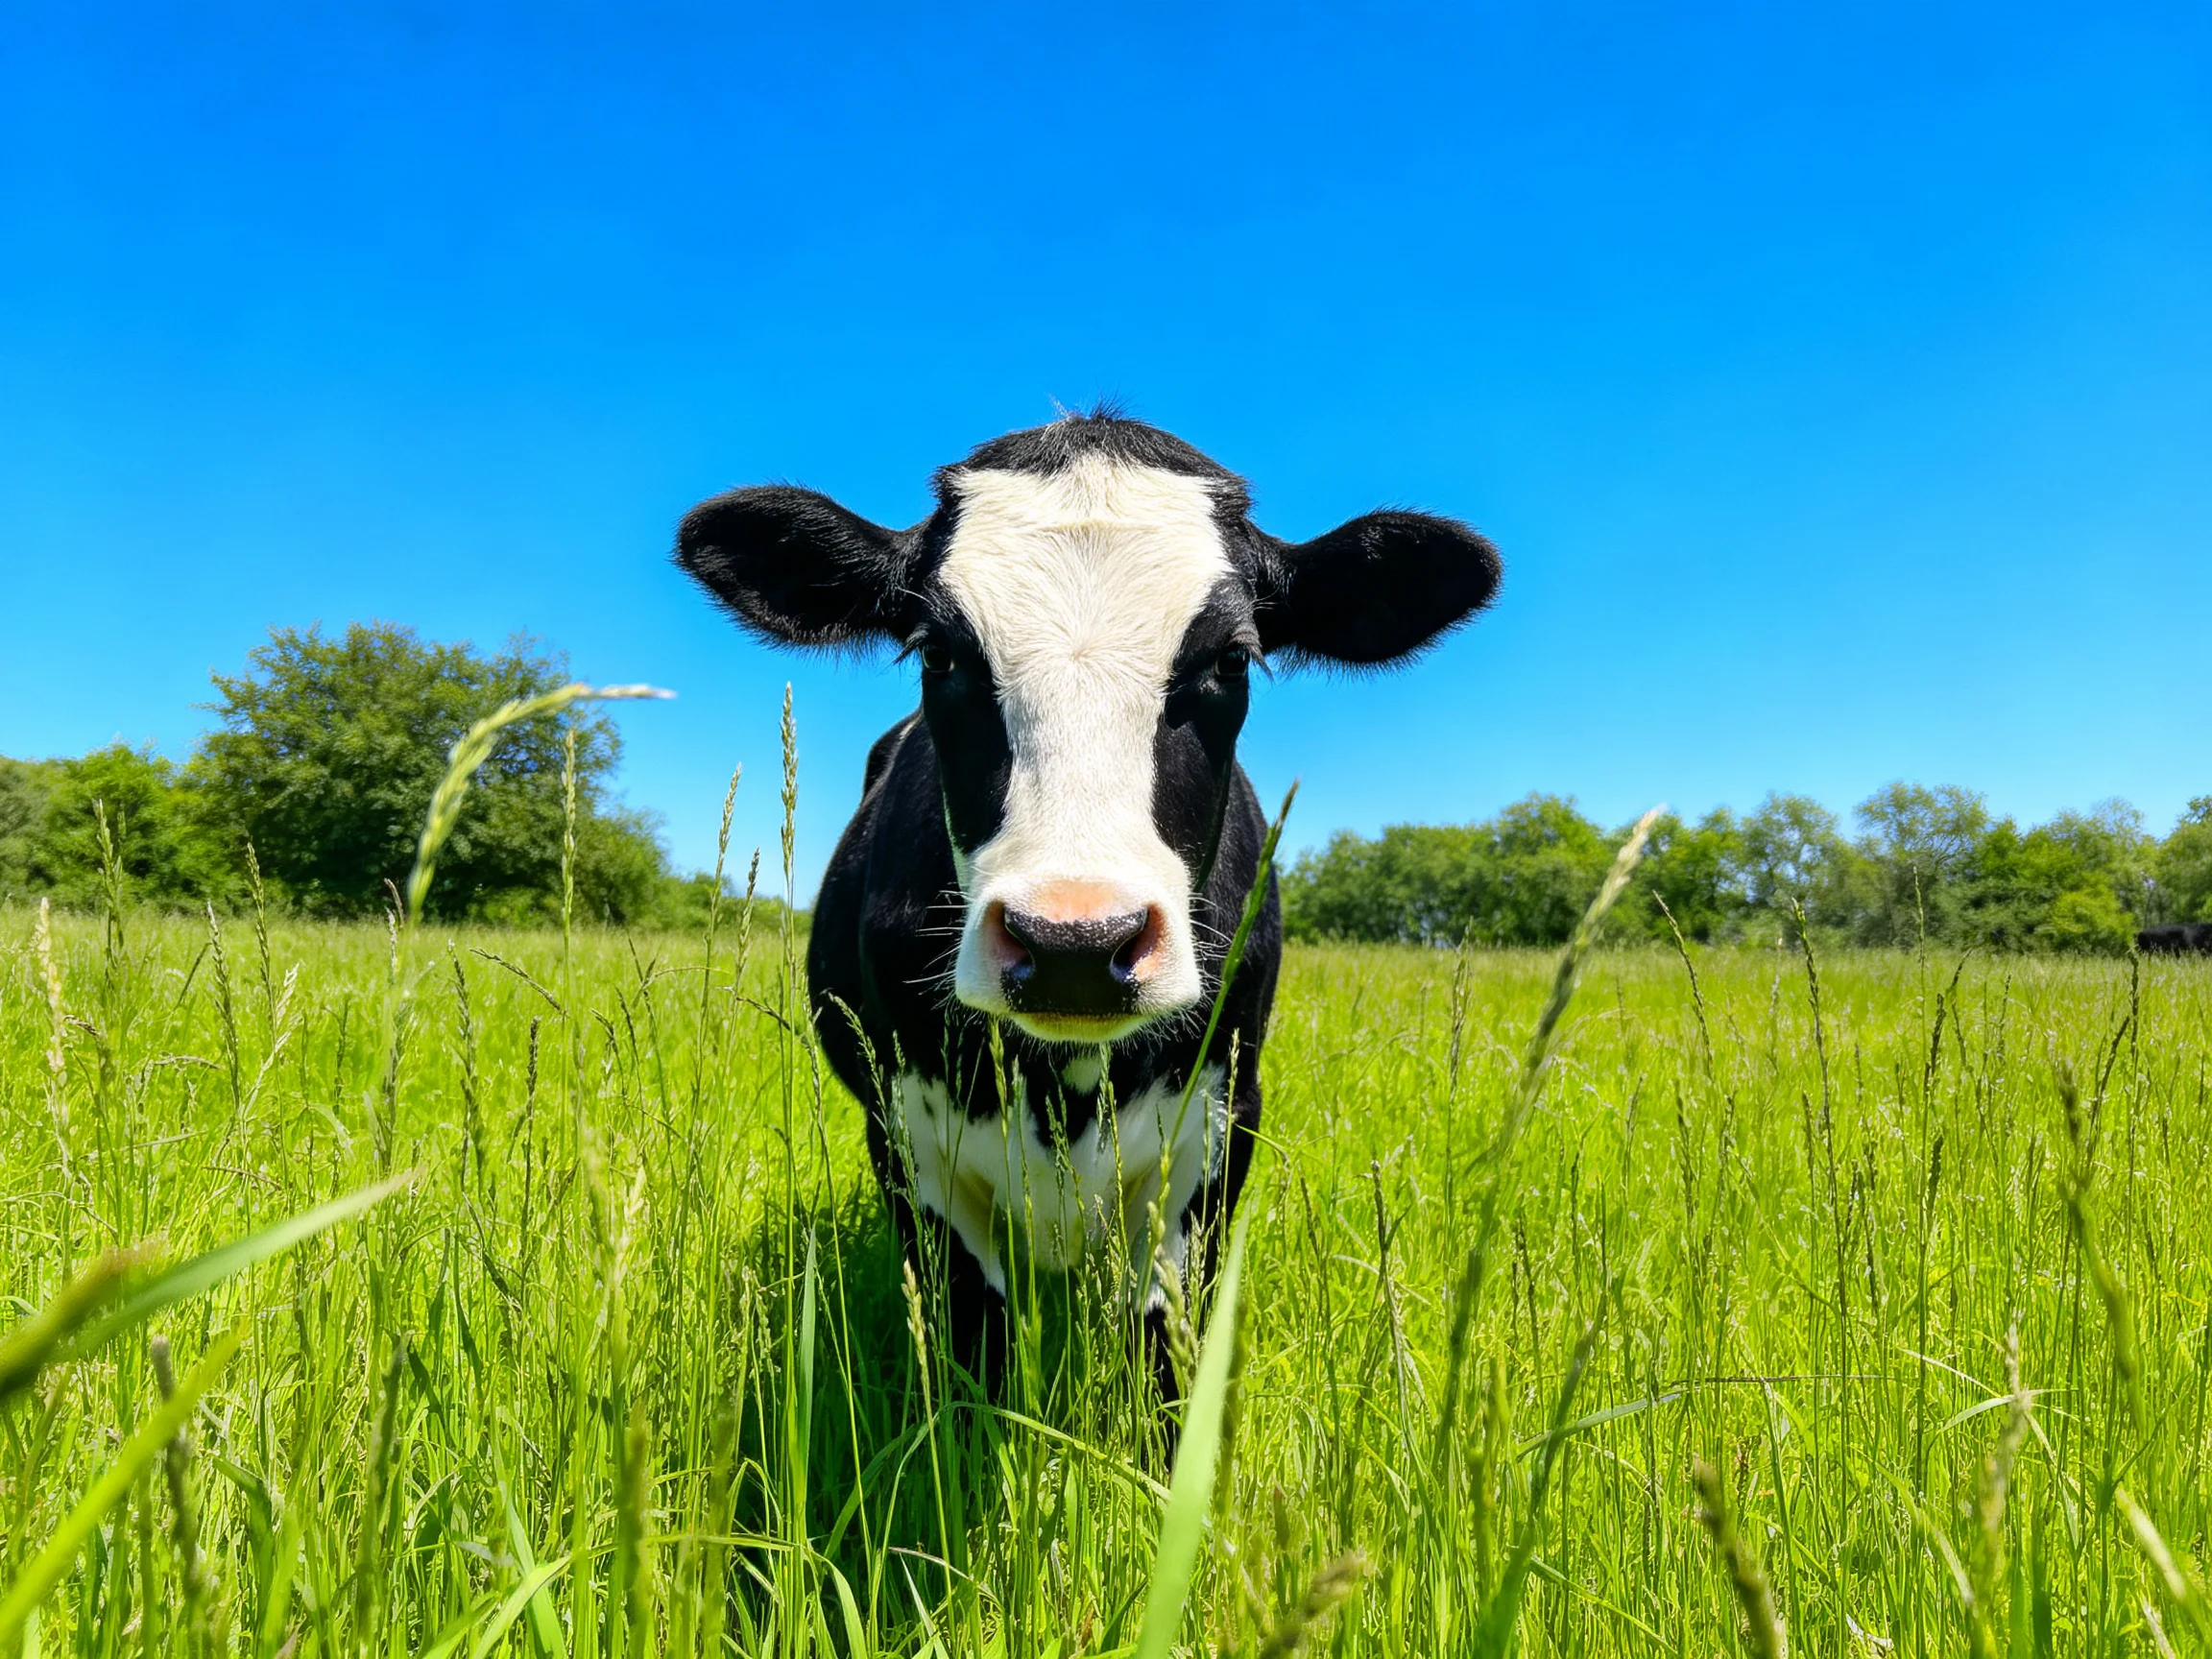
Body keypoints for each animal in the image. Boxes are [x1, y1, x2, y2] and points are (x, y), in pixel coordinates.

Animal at [675, 411, 1501, 1396]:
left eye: (1233, 659)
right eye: (939, 654)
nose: (1073, 941)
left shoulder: (1222, 1124)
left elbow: (1164, 1353)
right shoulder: (903, 1135)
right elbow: (974, 1342)